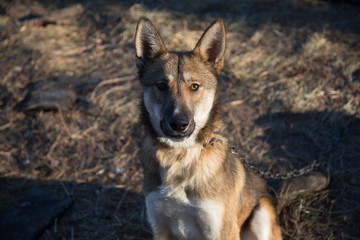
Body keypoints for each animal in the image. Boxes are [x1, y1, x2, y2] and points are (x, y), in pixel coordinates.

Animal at [134, 17, 282, 240]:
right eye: (161, 86)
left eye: (194, 86)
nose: (179, 124)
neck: (179, 156)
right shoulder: (161, 227)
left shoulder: (221, 231)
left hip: (262, 211)